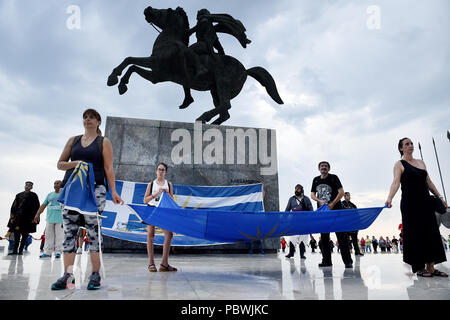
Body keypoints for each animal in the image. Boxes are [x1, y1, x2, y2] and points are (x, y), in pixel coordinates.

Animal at [107, 6, 284, 124]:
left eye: (165, 10)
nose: (148, 8)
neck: (169, 41)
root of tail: (246, 70)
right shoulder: (157, 75)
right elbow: (132, 66)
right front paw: (121, 85)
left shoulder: (156, 64)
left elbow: (129, 59)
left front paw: (113, 79)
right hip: (215, 90)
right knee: (225, 113)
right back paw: (210, 125)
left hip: (222, 84)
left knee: (226, 105)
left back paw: (203, 117)